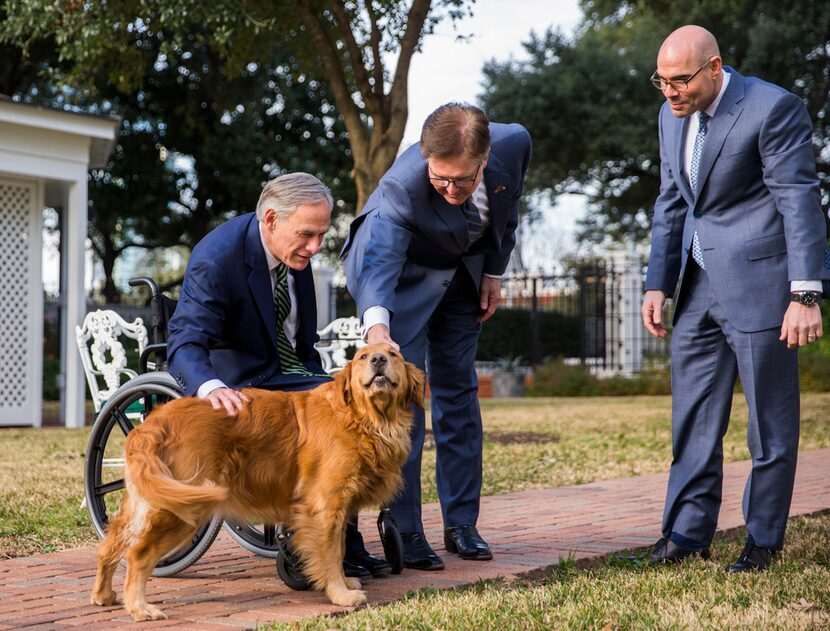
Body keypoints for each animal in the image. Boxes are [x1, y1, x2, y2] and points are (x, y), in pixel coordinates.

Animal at [92, 344, 422, 620]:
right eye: (364, 356)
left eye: (392, 353)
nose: (378, 360)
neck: (364, 418)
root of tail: (154, 422)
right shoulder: (325, 505)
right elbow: (330, 553)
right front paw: (340, 593)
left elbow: (338, 549)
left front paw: (344, 580)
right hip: (185, 507)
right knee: (137, 555)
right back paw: (140, 608)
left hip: (149, 501)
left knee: (111, 543)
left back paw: (103, 594)